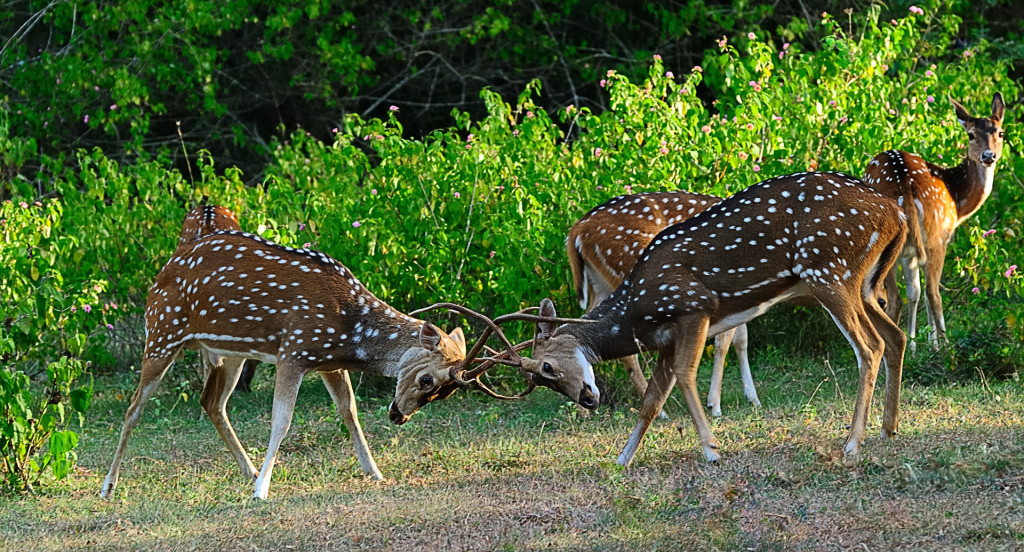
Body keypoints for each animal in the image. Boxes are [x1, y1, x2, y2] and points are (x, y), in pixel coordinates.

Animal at [569, 192, 761, 417]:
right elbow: (724, 342)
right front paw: (715, 405)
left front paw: (753, 398)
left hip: (600, 284)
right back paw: (659, 410)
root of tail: (577, 230)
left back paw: (582, 410)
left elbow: (741, 339)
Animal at [864, 92, 1007, 348]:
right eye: (971, 135)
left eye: (1000, 133)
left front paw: (915, 344)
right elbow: (922, 293)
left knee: (900, 296)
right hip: (933, 237)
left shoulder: (910, 251)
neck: (958, 202)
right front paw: (931, 343)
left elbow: (914, 293)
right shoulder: (942, 237)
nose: (988, 156)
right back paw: (945, 346)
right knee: (926, 293)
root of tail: (904, 183)